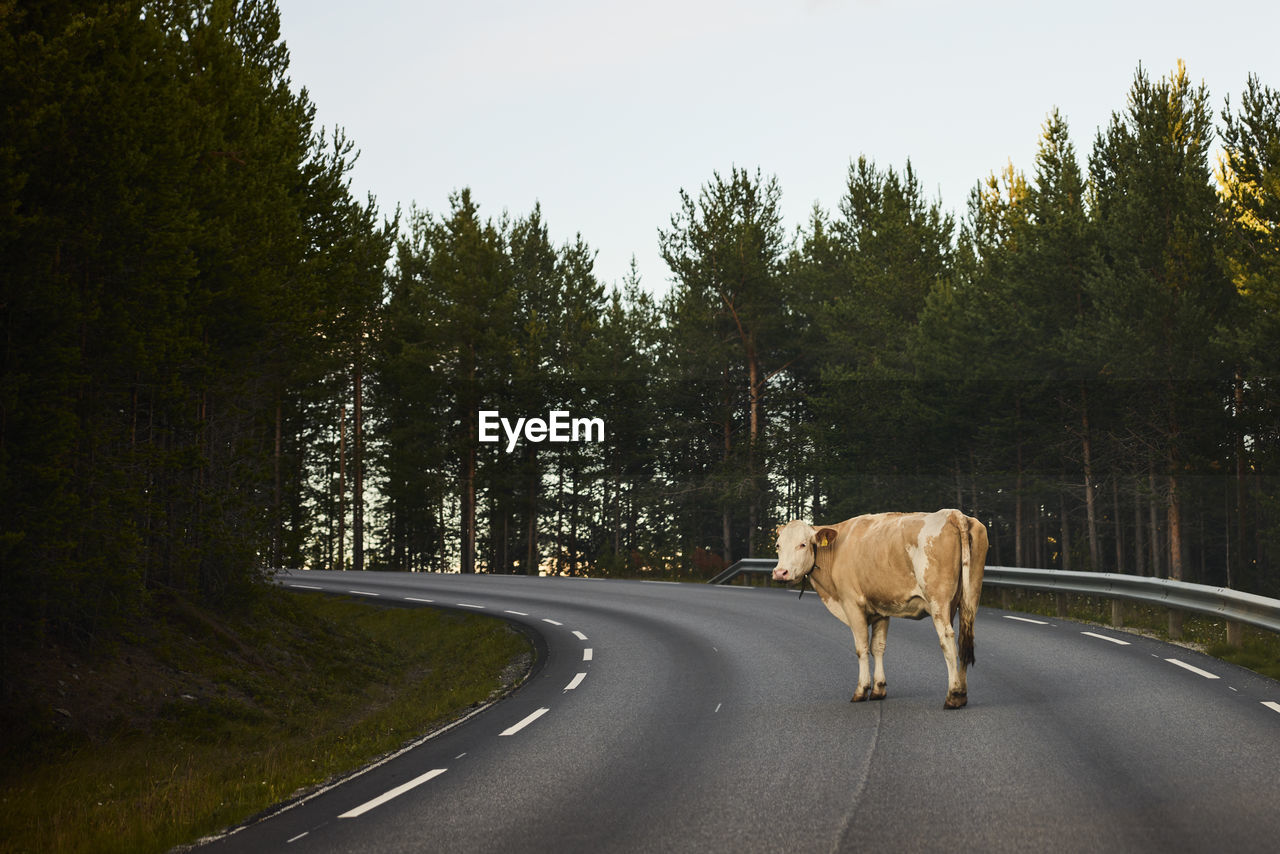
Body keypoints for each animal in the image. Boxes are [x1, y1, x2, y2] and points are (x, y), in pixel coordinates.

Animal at [768, 512, 988, 711]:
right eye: (778, 545)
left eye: (803, 544)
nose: (780, 572)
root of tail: (953, 514)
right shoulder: (881, 608)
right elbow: (878, 647)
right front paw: (878, 689)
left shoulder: (852, 603)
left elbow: (862, 647)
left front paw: (861, 690)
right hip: (969, 598)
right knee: (964, 640)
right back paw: (962, 694)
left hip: (938, 602)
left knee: (947, 640)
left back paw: (953, 695)